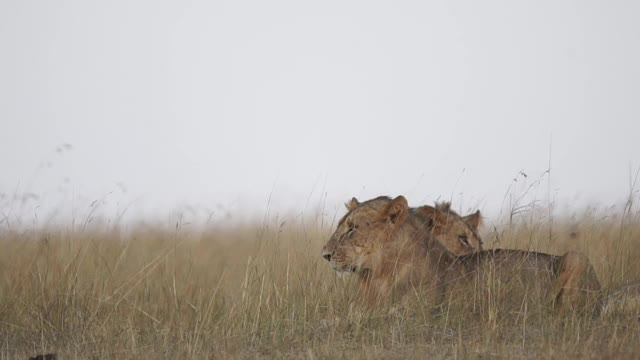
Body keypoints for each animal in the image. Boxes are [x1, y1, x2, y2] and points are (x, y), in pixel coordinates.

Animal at [322, 195, 604, 314]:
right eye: (342, 225)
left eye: (352, 229)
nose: (324, 255)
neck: (375, 274)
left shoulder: (418, 312)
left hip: (575, 257)